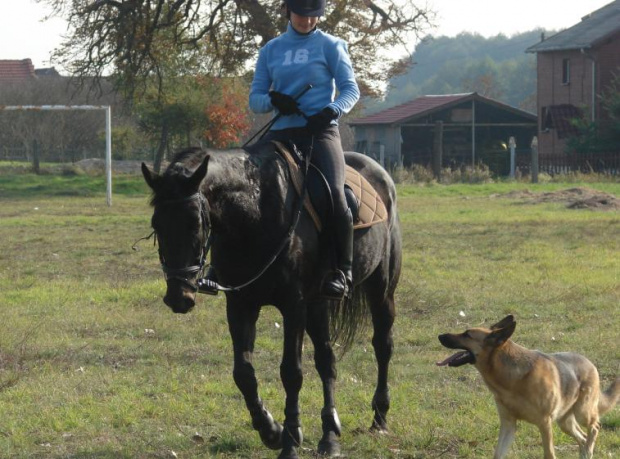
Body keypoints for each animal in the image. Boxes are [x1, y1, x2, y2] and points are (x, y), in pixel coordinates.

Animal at [141, 146, 402, 459]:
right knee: (327, 360)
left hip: (380, 290)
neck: (253, 215)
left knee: (382, 345)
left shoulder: (293, 305)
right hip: (318, 305)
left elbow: (291, 372)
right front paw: (271, 430)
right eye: (156, 223)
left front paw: (289, 441)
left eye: (195, 222)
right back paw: (329, 435)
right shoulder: (240, 304)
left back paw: (380, 417)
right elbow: (243, 373)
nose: (179, 297)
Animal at [438, 316, 616, 459]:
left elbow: (549, 454)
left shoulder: (544, 424)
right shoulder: (508, 425)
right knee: (583, 437)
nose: (440, 335)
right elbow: (498, 454)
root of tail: (590, 363)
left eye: (467, 334)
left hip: (582, 413)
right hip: (565, 422)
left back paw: (589, 450)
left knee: (595, 428)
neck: (512, 380)